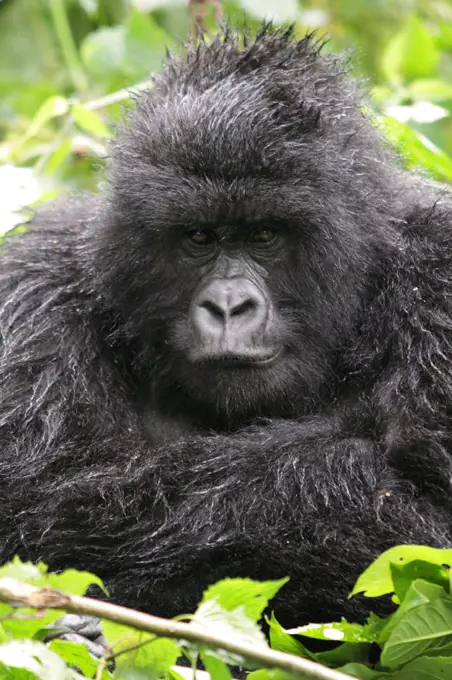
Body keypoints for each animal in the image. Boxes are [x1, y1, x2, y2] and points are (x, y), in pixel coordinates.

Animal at [0, 25, 452, 632]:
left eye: (264, 235)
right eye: (198, 237)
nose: (229, 306)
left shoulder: (439, 272)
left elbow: (426, 517)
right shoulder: (37, 288)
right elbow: (47, 498)